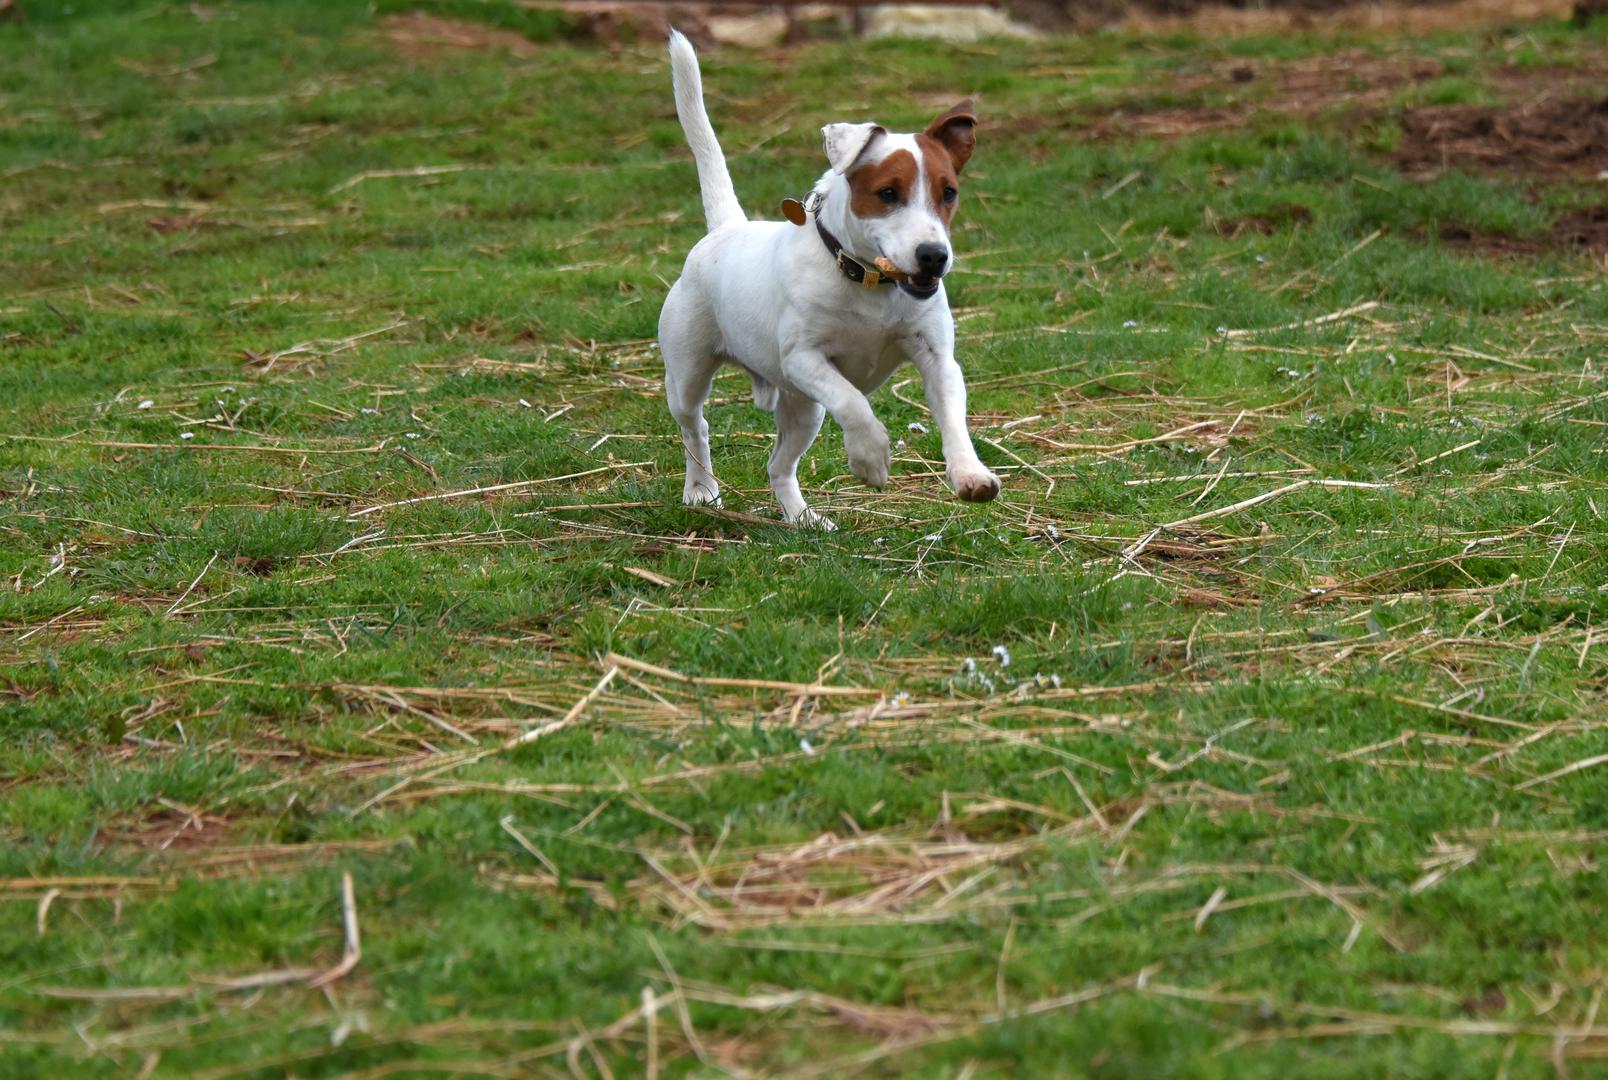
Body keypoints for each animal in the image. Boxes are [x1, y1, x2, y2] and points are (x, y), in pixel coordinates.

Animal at [659, 28, 996, 527]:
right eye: (888, 193)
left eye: (949, 192)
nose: (934, 256)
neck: (869, 282)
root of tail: (726, 228)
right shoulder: (804, 358)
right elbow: (855, 404)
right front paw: (871, 456)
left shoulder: (937, 358)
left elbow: (953, 416)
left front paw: (971, 473)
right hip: (688, 375)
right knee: (694, 427)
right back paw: (701, 489)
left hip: (804, 410)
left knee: (778, 466)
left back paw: (802, 519)